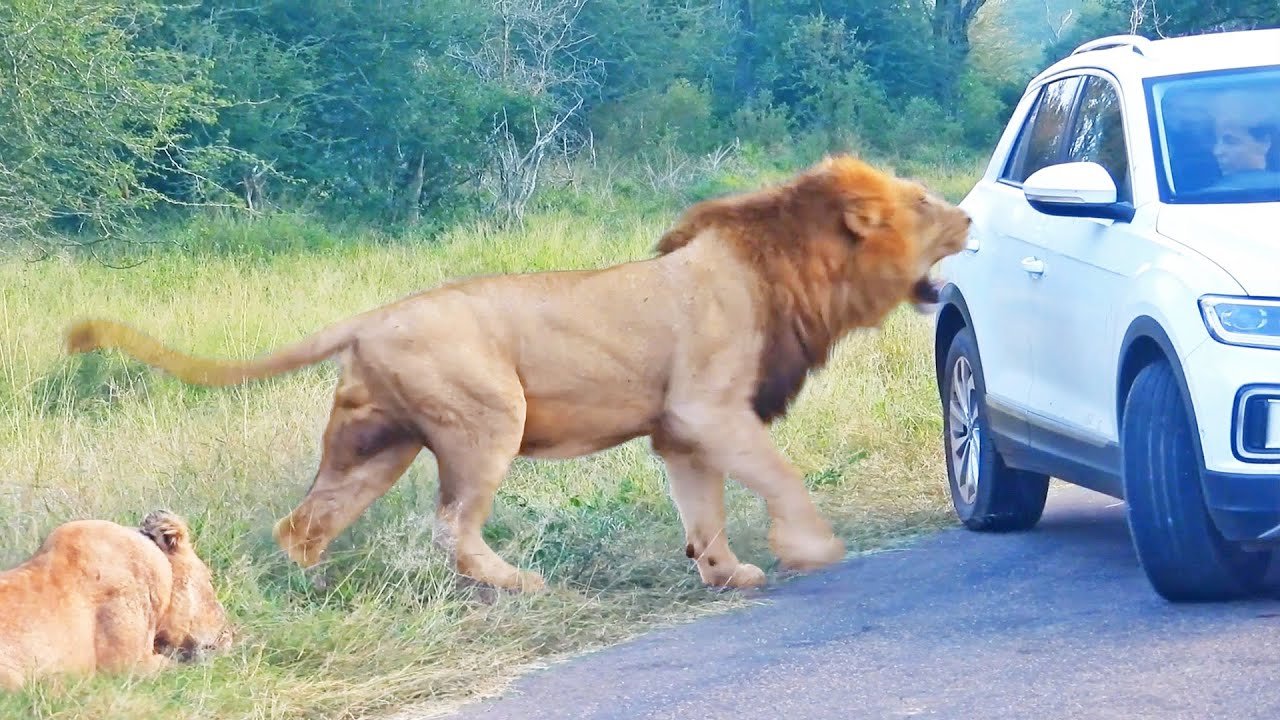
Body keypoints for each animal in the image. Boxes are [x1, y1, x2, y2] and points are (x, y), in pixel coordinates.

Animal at [62, 154, 967, 591]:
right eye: (925, 203)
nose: (965, 216)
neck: (791, 270)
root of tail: (371, 316)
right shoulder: (708, 409)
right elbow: (780, 475)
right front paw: (812, 550)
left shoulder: (678, 432)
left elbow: (702, 510)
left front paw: (726, 573)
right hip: (486, 420)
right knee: (452, 528)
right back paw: (520, 584)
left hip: (374, 444)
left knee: (304, 523)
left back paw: (305, 593)